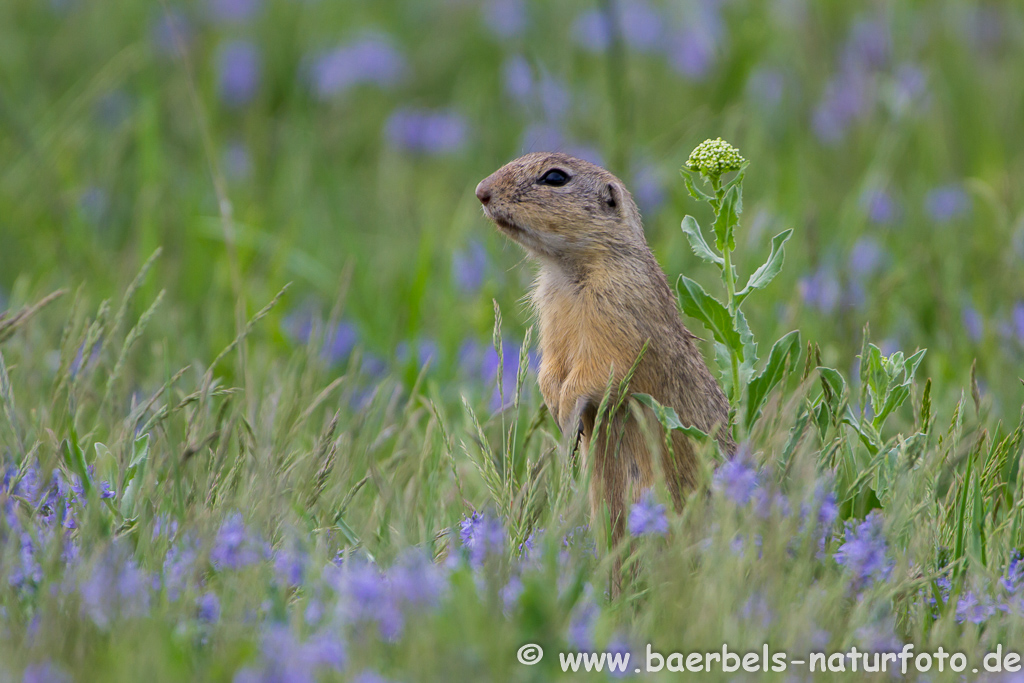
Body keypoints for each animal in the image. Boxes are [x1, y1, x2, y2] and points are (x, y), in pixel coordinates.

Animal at [473, 154, 737, 561]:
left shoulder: (617, 308)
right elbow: (551, 366)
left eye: (555, 177)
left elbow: (602, 367)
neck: (568, 271)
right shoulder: (551, 315)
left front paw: (567, 415)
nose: (481, 192)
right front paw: (556, 406)